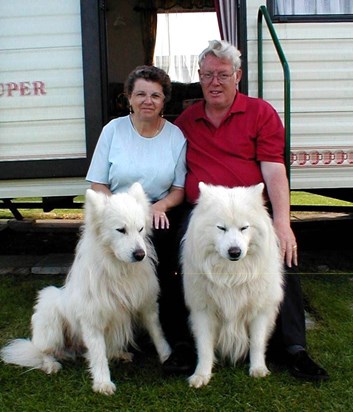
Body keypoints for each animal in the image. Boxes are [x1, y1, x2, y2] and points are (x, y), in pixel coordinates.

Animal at [0, 184, 170, 396]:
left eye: (140, 229)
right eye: (121, 230)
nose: (140, 255)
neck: (118, 269)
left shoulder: (147, 306)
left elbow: (158, 335)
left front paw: (168, 357)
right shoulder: (92, 319)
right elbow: (98, 354)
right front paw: (103, 383)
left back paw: (119, 354)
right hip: (50, 318)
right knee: (44, 352)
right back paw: (51, 365)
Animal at [182, 182, 284, 388]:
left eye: (244, 227)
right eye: (221, 228)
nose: (235, 252)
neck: (231, 276)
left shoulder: (260, 311)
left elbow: (257, 343)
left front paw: (258, 369)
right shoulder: (203, 311)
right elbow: (204, 347)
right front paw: (201, 375)